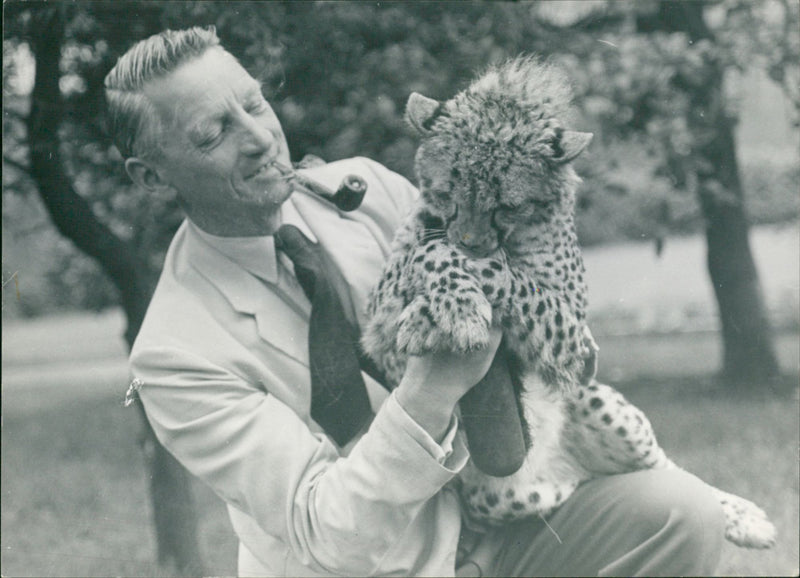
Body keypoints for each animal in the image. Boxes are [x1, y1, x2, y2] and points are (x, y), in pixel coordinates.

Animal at [362, 56, 776, 548]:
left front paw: (451, 303)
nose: (471, 240)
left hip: (593, 396)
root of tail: (561, 471)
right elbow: (425, 253)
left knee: (669, 471)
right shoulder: (377, 326)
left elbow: (495, 269)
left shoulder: (578, 343)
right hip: (511, 496)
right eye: (448, 191)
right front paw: (448, 304)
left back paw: (745, 516)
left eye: (506, 205)